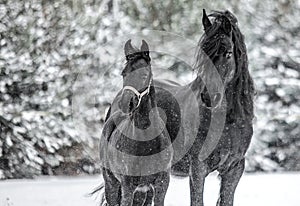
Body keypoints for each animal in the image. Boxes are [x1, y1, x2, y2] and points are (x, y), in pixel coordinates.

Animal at [99, 39, 172, 205]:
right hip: (111, 183)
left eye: (144, 74)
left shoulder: (161, 184)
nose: (126, 103)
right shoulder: (128, 186)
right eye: (123, 73)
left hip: (142, 191)